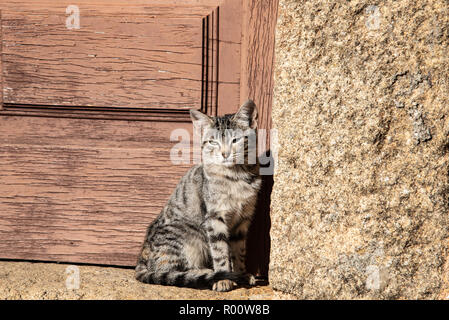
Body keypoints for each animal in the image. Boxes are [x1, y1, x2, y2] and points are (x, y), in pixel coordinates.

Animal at [134, 100, 260, 292]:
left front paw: (242, 274)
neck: (236, 176)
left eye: (235, 140)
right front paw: (224, 278)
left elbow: (239, 252)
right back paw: (207, 273)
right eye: (213, 142)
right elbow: (220, 251)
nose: (225, 154)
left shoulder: (243, 220)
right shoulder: (214, 218)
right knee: (170, 270)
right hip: (183, 237)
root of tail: (141, 258)